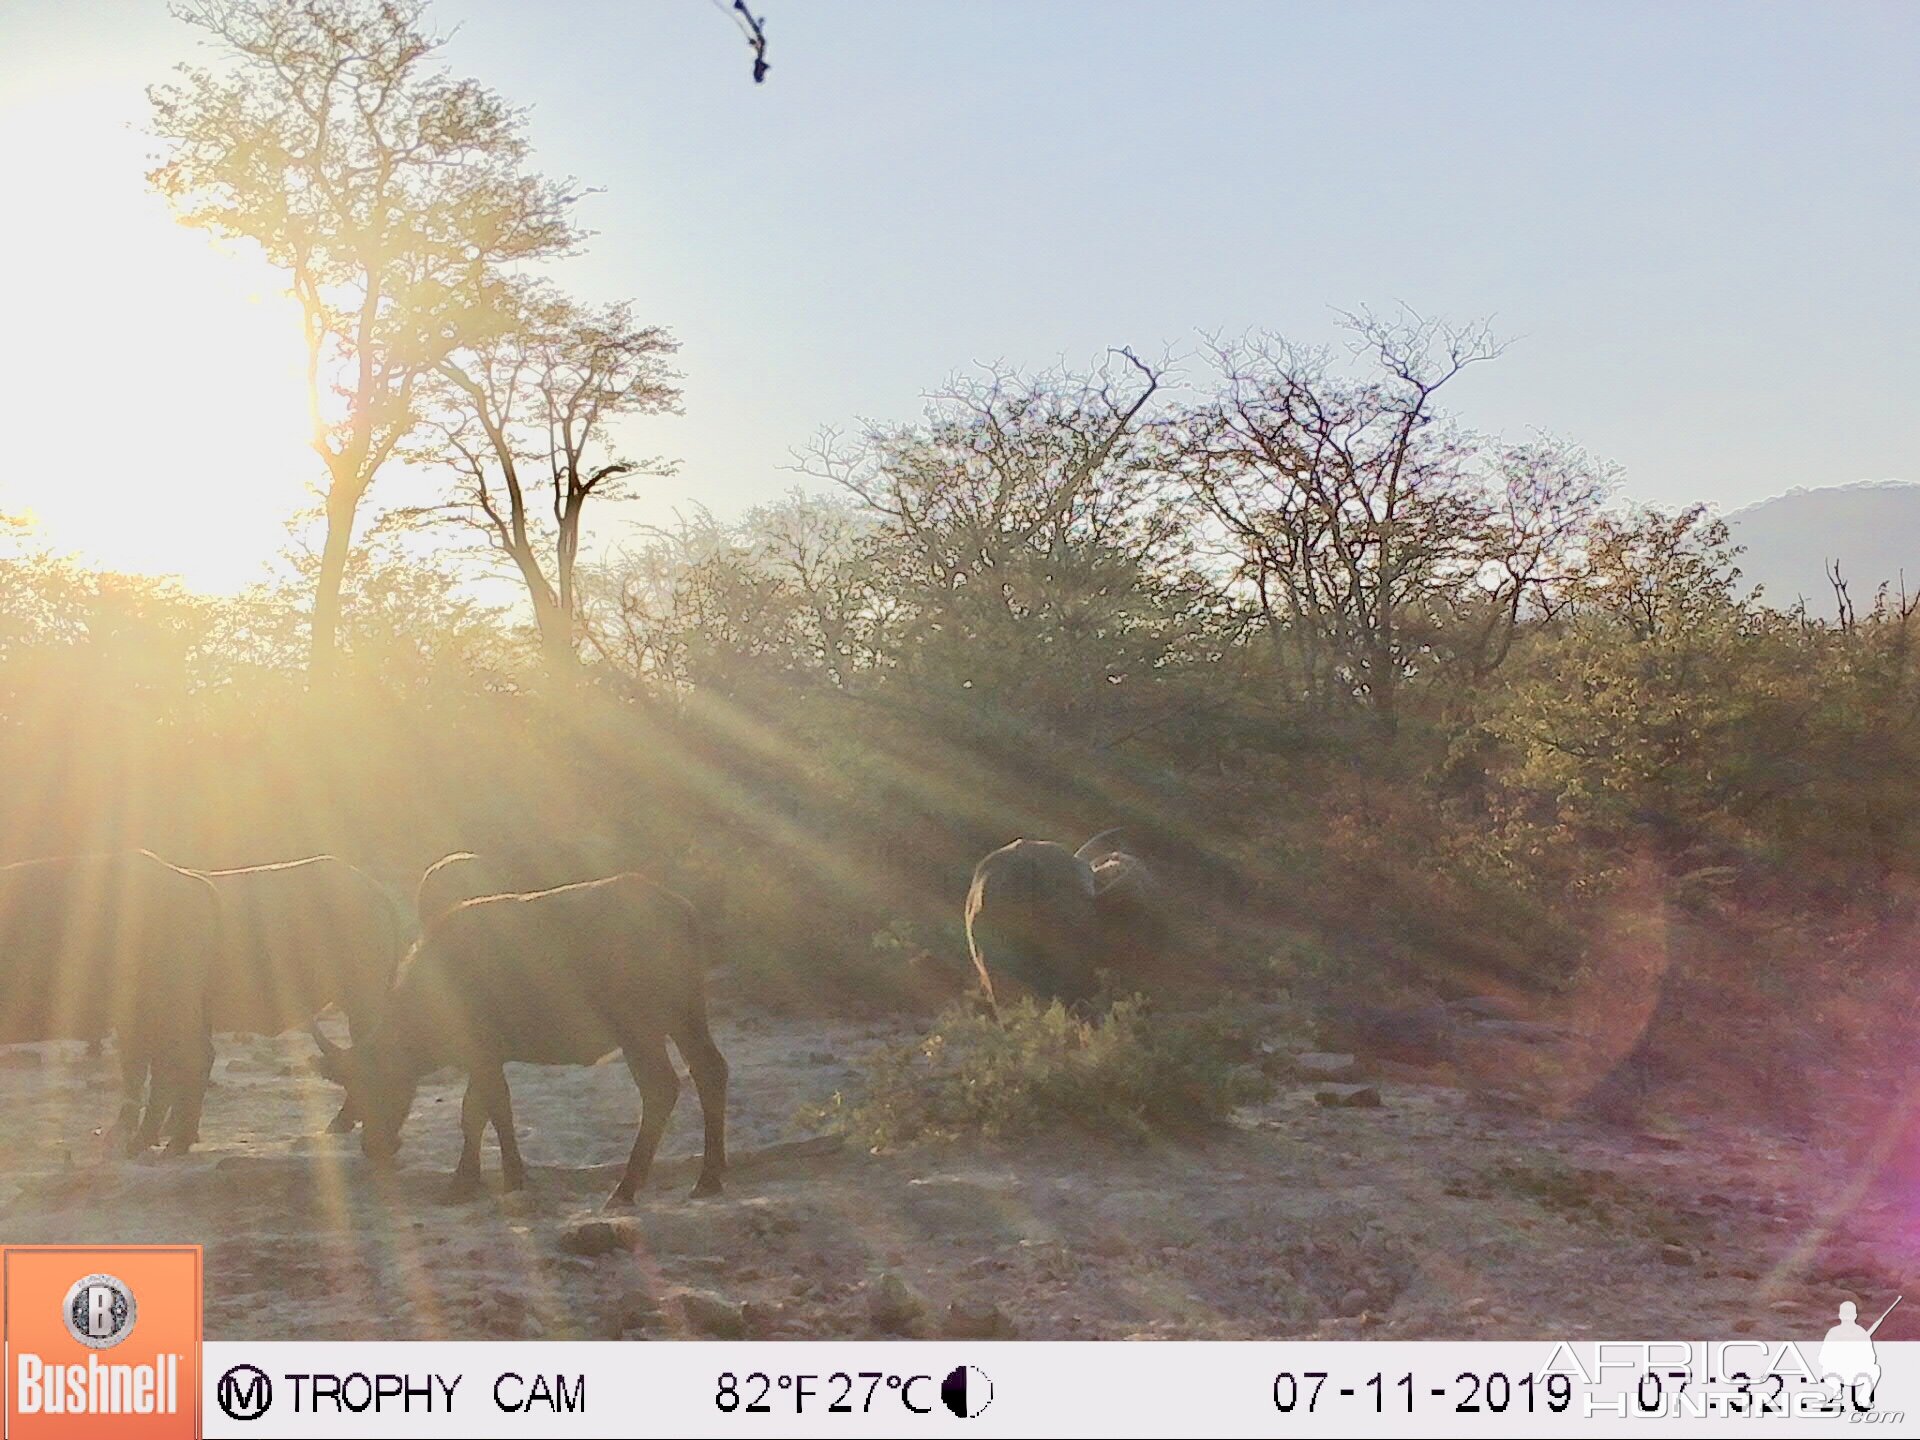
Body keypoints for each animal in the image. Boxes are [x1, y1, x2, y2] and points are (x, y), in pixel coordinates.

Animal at [318, 875, 729, 1213]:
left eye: (380, 1086)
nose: (373, 1146)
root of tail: (678, 911)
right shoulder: (485, 1058)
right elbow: (475, 1112)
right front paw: (467, 1180)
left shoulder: (483, 1054)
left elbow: (493, 1110)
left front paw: (506, 1177)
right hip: (688, 1016)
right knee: (711, 1071)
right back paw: (709, 1177)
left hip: (639, 1029)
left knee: (661, 1088)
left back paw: (626, 1188)